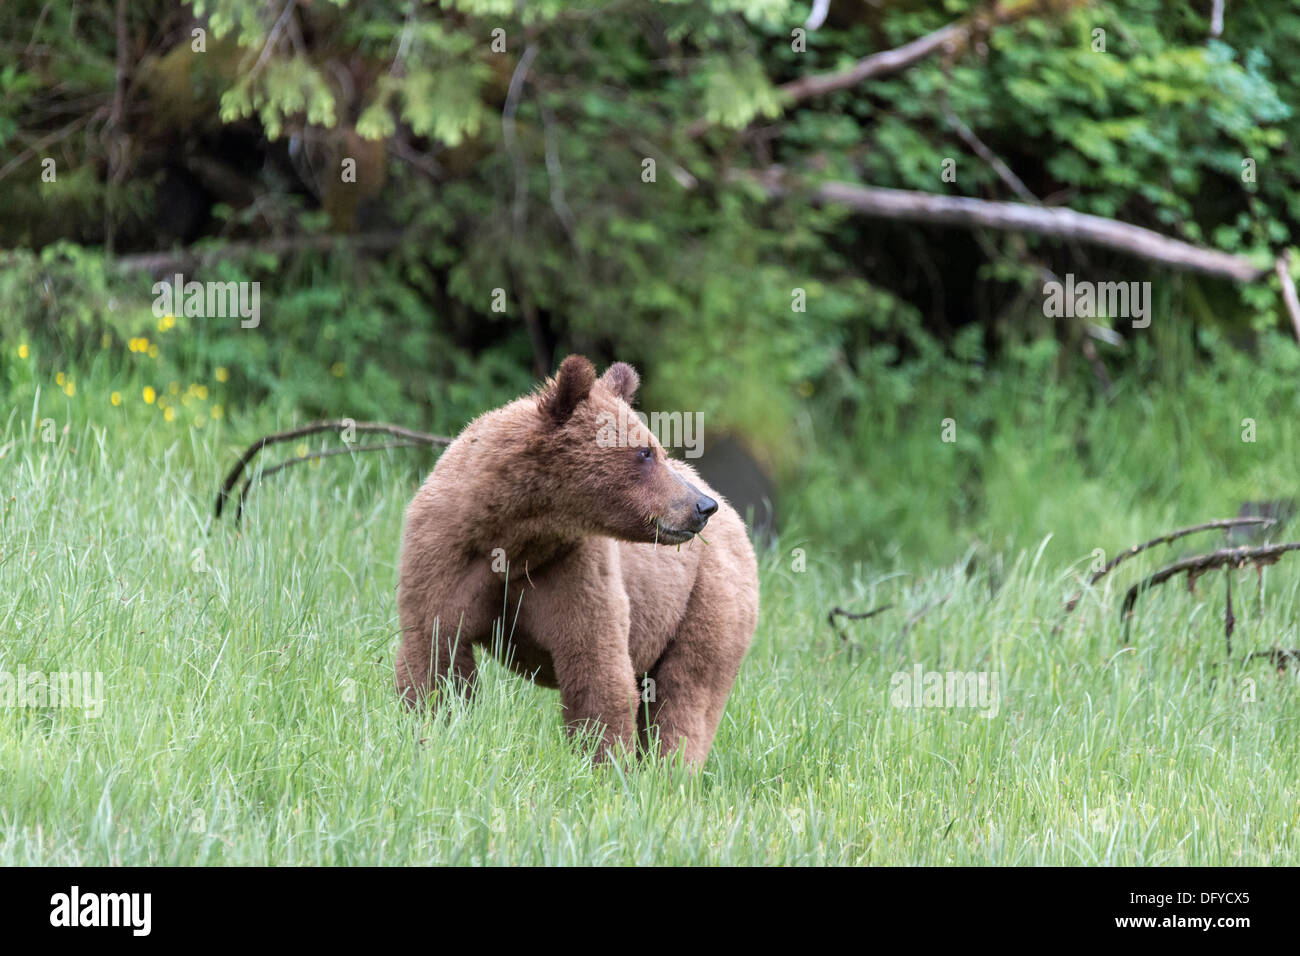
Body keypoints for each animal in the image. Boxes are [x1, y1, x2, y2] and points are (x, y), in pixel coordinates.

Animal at [395, 356, 759, 764]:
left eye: (656, 448)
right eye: (645, 452)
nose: (701, 506)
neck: (514, 533)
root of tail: (736, 517)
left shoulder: (574, 567)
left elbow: (596, 670)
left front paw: (601, 763)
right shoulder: (445, 551)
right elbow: (434, 651)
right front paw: (432, 727)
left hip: (706, 600)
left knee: (687, 692)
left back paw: (670, 768)